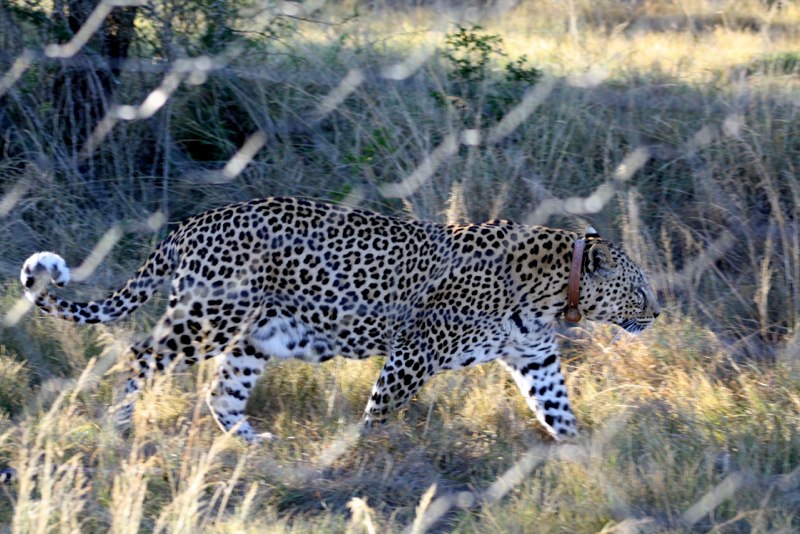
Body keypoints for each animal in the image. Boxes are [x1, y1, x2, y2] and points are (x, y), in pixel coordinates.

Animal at [21, 197, 659, 443]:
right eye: (640, 287)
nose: (657, 312)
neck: (556, 288)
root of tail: (192, 223)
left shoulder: (536, 358)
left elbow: (560, 411)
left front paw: (586, 456)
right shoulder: (415, 350)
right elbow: (380, 408)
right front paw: (364, 452)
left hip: (257, 336)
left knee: (222, 392)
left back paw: (253, 445)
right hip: (208, 317)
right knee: (140, 356)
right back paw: (119, 424)